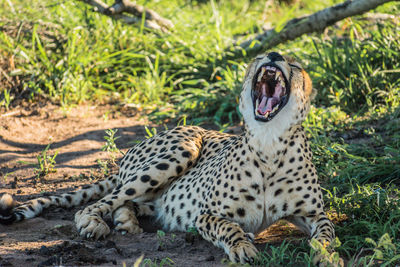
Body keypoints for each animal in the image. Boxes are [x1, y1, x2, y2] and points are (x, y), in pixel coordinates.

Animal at [1, 52, 336, 266]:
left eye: (295, 65)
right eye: (259, 58)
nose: (274, 56)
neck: (269, 143)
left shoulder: (313, 213)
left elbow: (327, 231)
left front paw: (328, 255)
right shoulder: (207, 214)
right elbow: (230, 228)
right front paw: (242, 246)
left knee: (136, 203)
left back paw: (127, 220)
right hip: (182, 149)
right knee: (98, 203)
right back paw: (94, 223)